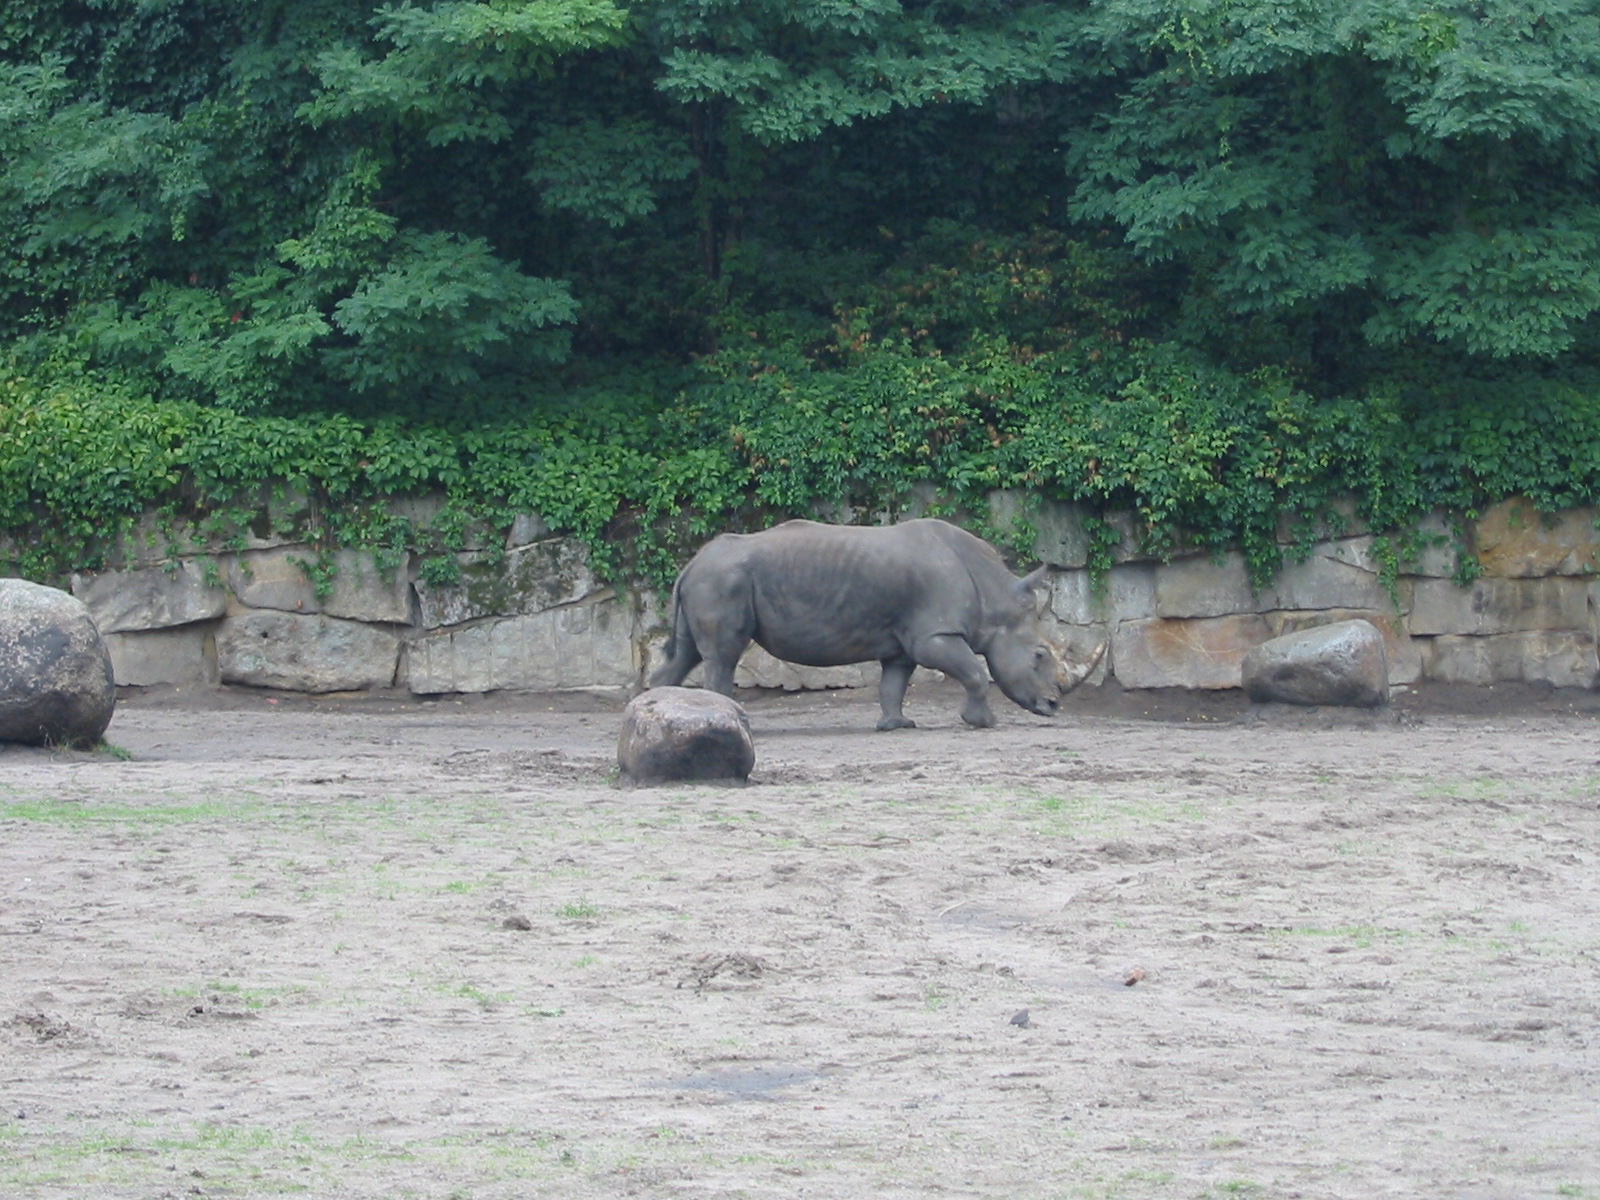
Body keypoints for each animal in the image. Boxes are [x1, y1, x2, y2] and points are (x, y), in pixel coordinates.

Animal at [649, 518, 1104, 730]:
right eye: (1040, 655)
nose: (1053, 706)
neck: (994, 597)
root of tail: (691, 564)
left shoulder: (905, 641)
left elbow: (894, 683)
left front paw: (896, 725)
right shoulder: (934, 635)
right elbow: (975, 671)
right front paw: (982, 722)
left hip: (710, 580)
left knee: (687, 653)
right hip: (722, 581)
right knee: (723, 656)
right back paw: (735, 721)